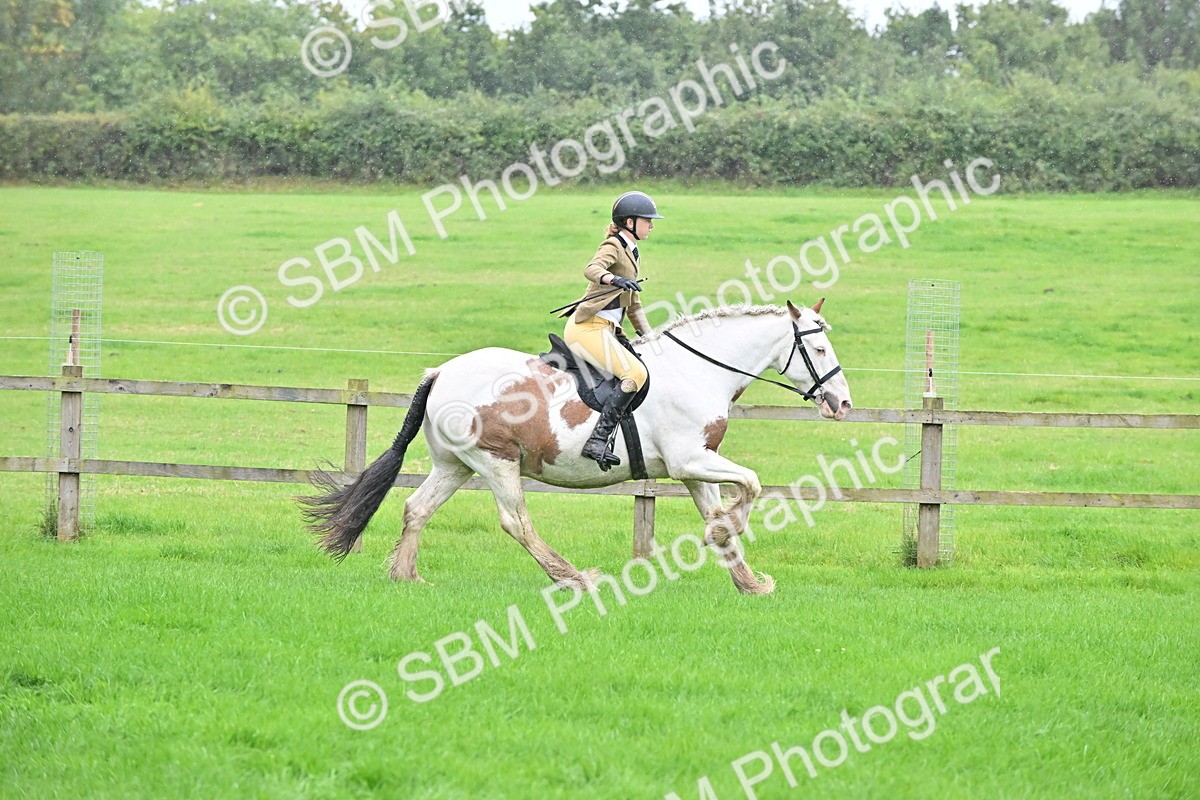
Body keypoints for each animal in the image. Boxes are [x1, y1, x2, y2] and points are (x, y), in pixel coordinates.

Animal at [300, 300, 852, 595]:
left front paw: (749, 583)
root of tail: (441, 373)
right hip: (497, 461)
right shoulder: (690, 460)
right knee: (516, 522)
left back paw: (406, 576)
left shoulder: (697, 467)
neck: (699, 369)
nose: (842, 403)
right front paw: (735, 543)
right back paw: (574, 578)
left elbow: (720, 519)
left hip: (455, 465)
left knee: (417, 508)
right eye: (819, 348)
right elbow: (751, 486)